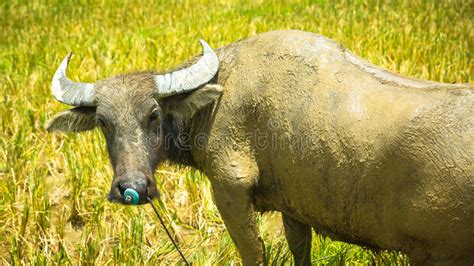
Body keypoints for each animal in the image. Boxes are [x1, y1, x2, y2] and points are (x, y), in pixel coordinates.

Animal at [45, 30, 474, 264]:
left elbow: (254, 252)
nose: (131, 188)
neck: (218, 97)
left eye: (153, 114)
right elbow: (300, 249)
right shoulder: (295, 206)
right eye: (104, 122)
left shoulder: (230, 189)